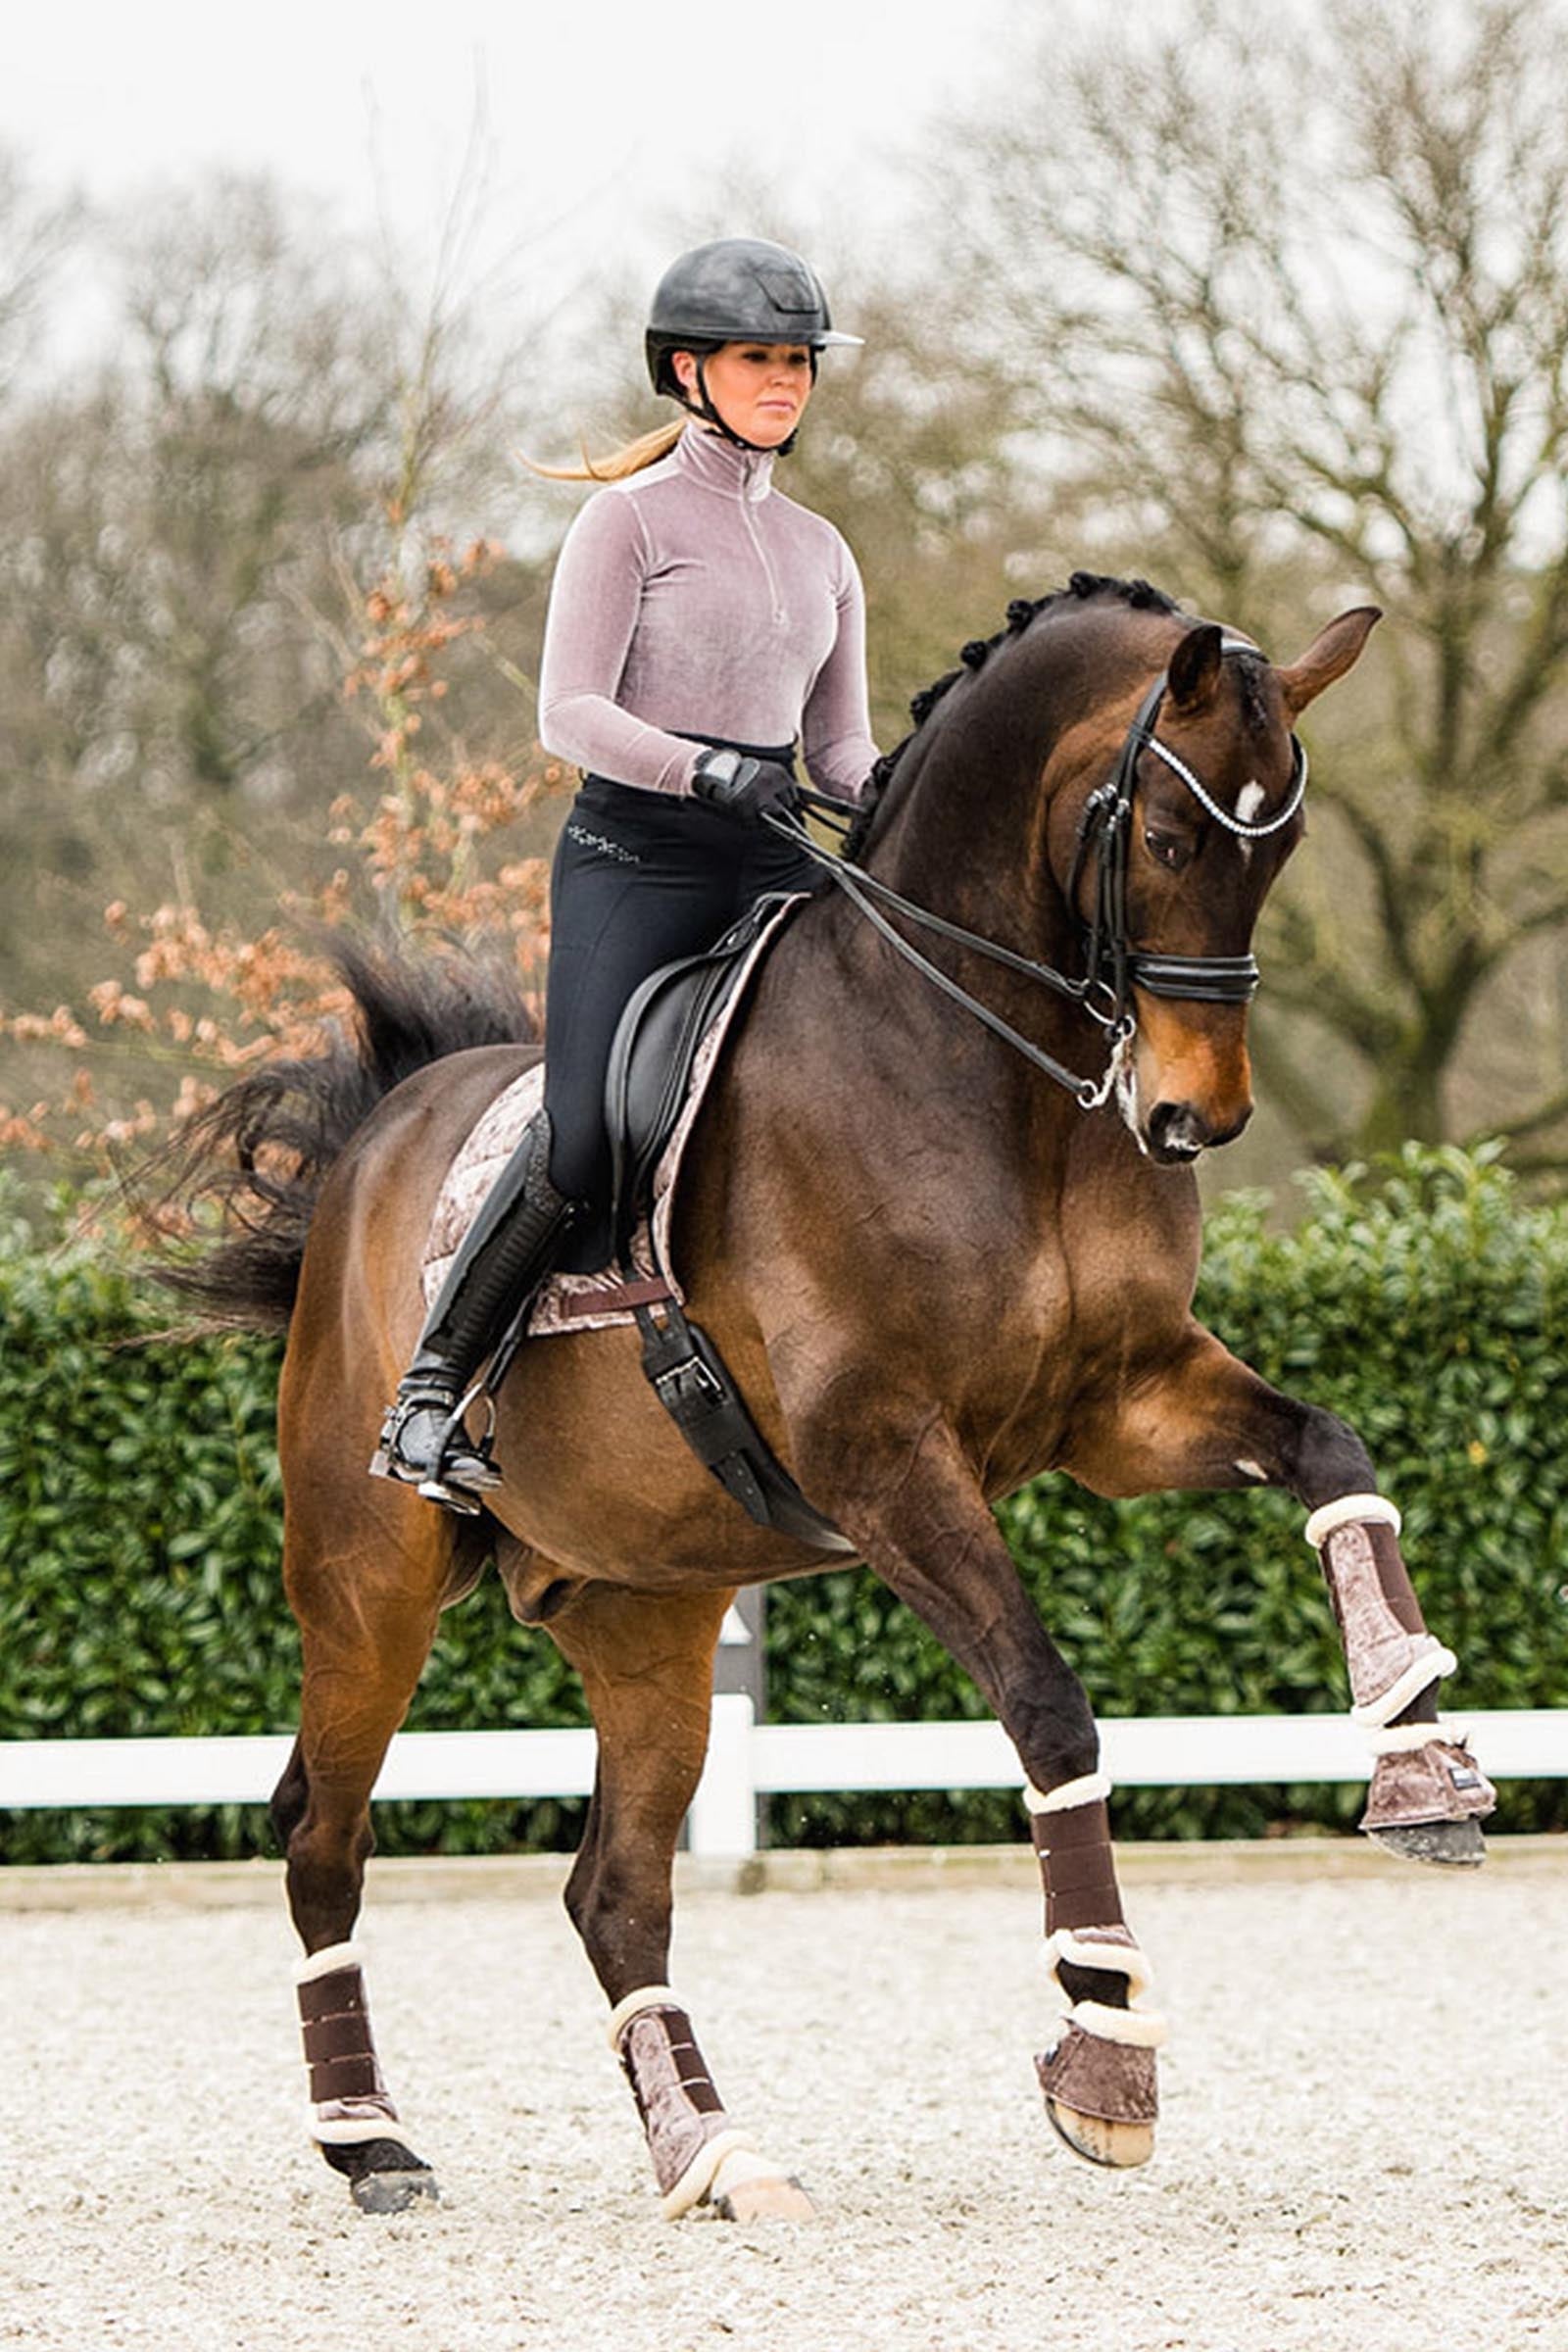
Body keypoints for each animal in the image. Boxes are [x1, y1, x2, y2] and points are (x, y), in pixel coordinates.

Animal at [162, 571, 1493, 2221]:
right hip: (369, 1584)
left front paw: (1423, 1766)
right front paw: (1105, 2055)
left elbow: (1331, 1452)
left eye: (1281, 850)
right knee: (322, 1836)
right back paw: (371, 2142)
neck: (990, 1072)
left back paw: (714, 2155)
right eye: (1174, 844)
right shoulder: (886, 1464)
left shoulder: (1121, 1406)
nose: (1196, 1115)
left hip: (647, 1609)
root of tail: (377, 1134)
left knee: (616, 1887)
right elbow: (1050, 1711)